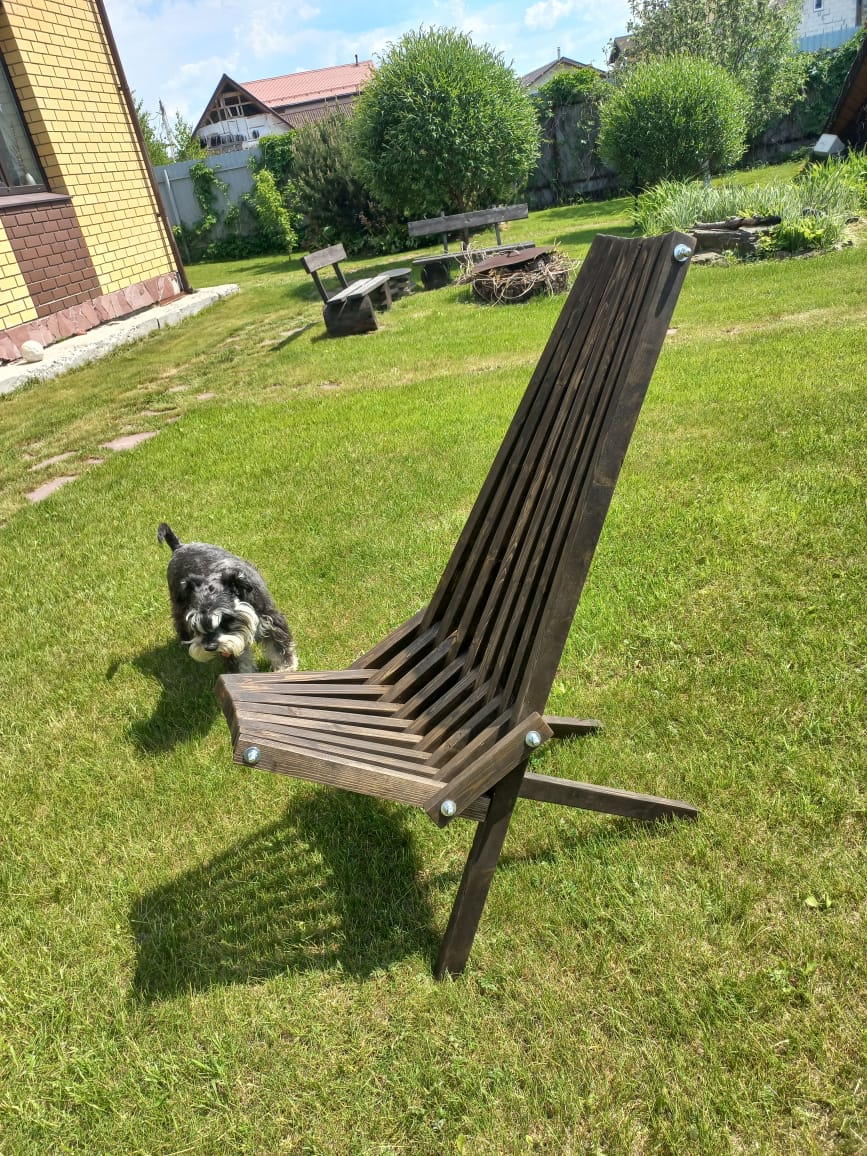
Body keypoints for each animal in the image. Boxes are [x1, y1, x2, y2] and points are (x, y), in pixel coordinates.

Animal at [158, 523, 298, 674]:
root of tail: (179, 547)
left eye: (226, 618)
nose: (210, 647)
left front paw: (287, 668)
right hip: (179, 607)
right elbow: (240, 661)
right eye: (196, 623)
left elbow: (279, 648)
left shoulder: (271, 621)